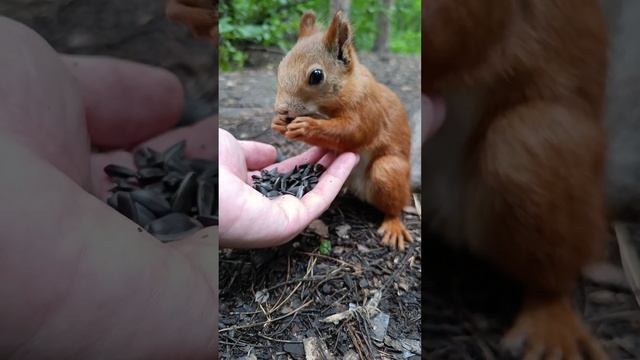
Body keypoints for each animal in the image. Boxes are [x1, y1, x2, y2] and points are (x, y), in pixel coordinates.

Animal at [268, 10, 410, 248]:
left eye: (316, 75)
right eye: (280, 66)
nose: (282, 109)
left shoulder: (367, 108)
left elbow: (352, 132)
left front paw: (307, 127)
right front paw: (278, 122)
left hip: (389, 171)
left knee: (394, 205)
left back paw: (393, 225)